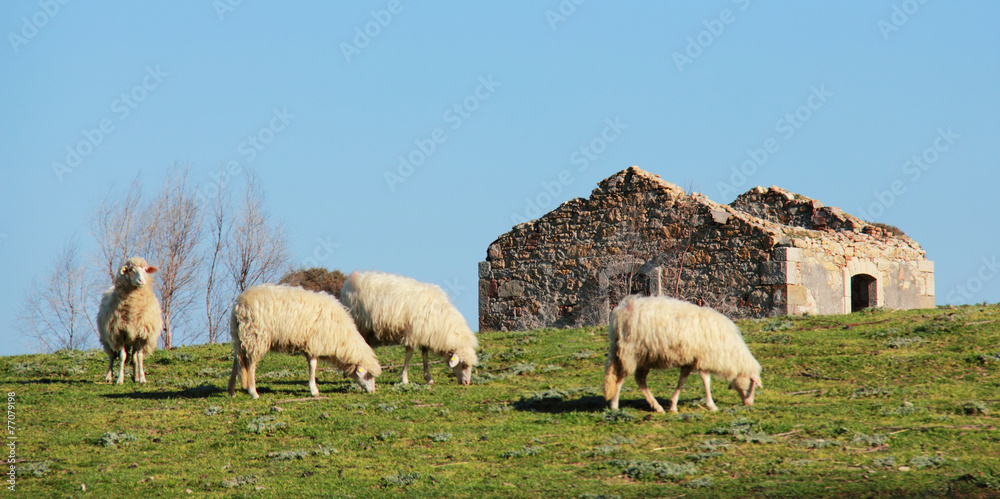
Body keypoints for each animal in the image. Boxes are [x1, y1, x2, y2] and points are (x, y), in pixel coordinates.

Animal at [227, 284, 382, 399]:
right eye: (368, 375)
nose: (372, 392)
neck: (341, 338)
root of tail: (240, 303)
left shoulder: (309, 344)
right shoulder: (314, 343)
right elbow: (313, 366)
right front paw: (314, 390)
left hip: (240, 335)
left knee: (237, 360)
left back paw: (231, 391)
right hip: (256, 335)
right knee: (251, 363)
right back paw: (253, 392)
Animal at [340, 271, 478, 385]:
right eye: (463, 365)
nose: (467, 383)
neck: (441, 322)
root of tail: (350, 279)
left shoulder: (423, 333)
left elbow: (424, 355)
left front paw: (428, 378)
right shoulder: (412, 333)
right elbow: (409, 354)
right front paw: (404, 379)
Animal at [603, 295, 763, 413]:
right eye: (752, 385)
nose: (749, 404)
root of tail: (620, 310)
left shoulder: (691, 360)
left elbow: (682, 380)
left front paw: (673, 405)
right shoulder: (703, 358)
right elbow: (706, 380)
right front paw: (711, 405)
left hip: (644, 355)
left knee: (639, 379)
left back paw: (657, 407)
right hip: (630, 352)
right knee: (620, 378)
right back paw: (615, 406)